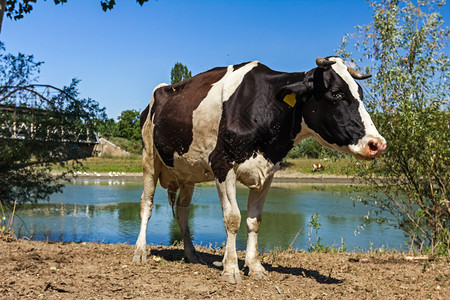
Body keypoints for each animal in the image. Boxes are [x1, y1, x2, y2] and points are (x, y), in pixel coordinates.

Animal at [134, 56, 386, 284]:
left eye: (361, 94)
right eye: (336, 93)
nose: (377, 144)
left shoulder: (268, 172)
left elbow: (254, 220)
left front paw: (255, 267)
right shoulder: (222, 163)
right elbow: (233, 218)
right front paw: (231, 269)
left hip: (187, 172)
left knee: (183, 211)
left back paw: (192, 254)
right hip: (149, 157)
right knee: (146, 204)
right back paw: (140, 251)